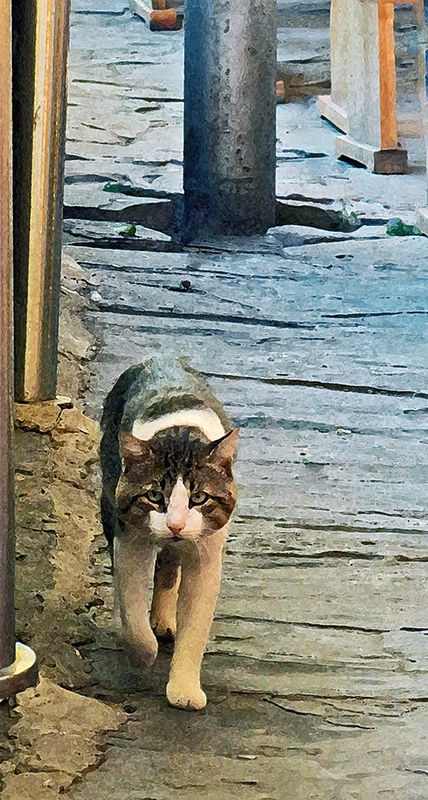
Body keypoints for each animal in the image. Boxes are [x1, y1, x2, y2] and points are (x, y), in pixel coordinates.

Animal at [100, 356, 238, 710]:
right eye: (154, 496)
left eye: (199, 497)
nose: (175, 524)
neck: (180, 434)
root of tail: (160, 357)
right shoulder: (130, 539)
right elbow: (132, 606)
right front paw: (141, 653)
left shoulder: (206, 553)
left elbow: (195, 625)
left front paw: (184, 689)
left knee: (168, 566)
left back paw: (163, 620)